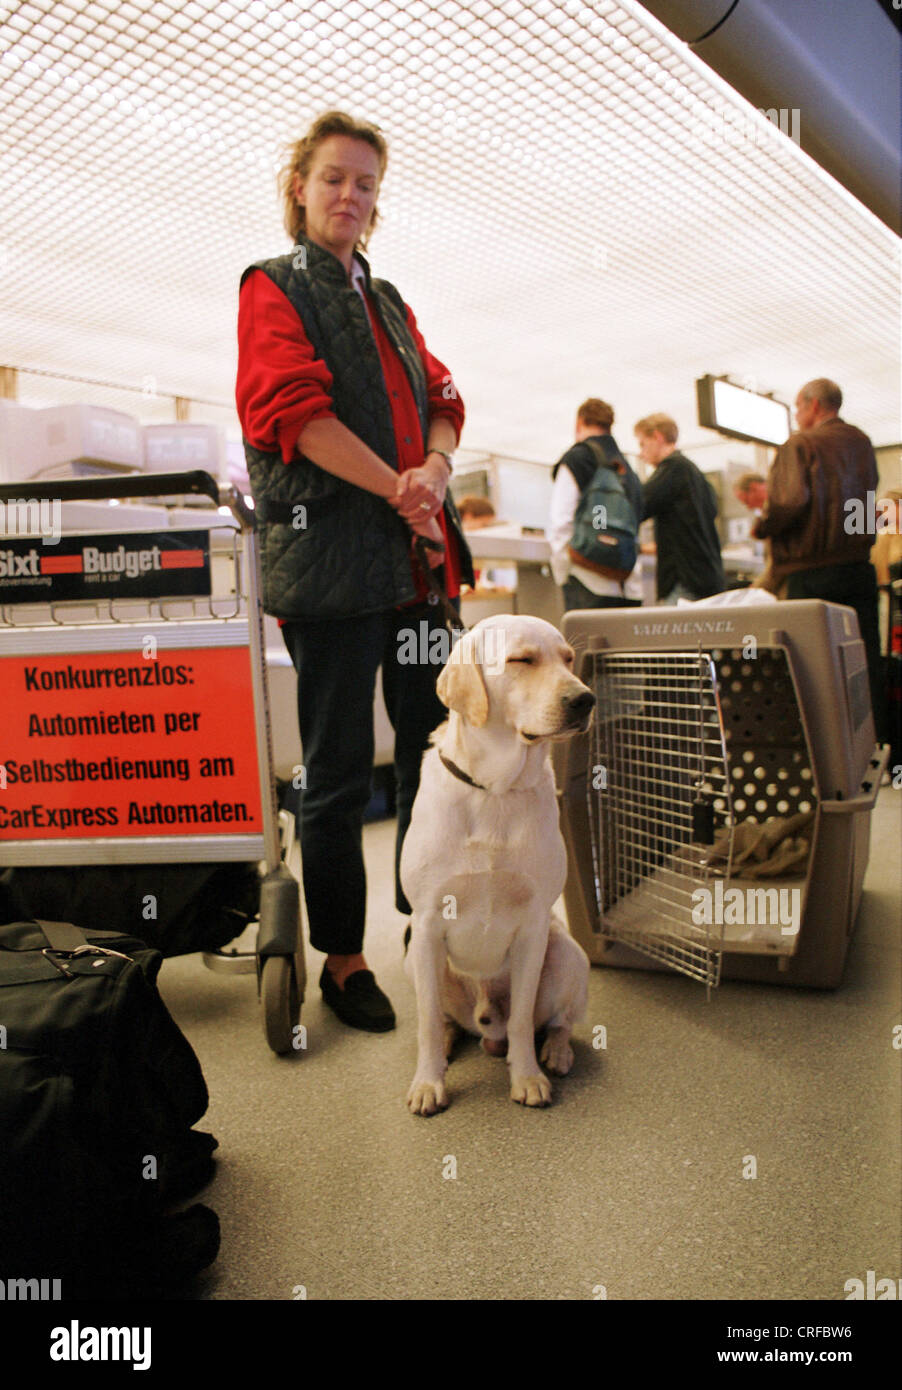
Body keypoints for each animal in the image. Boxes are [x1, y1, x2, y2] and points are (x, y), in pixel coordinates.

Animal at [400, 614, 594, 1112]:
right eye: (522, 660)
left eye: (568, 659)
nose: (584, 699)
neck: (494, 789)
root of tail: (488, 1027)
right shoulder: (426, 924)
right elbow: (427, 1020)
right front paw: (428, 1083)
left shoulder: (533, 928)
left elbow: (525, 1018)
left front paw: (526, 1077)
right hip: (417, 959)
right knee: (442, 1019)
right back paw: (451, 1041)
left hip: (567, 954)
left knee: (558, 1021)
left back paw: (557, 1053)